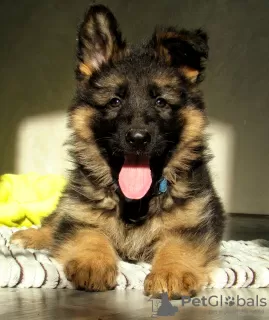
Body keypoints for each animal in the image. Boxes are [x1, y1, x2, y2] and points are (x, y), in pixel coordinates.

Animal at [11, 4, 224, 298]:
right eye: (115, 101)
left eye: (161, 102)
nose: (138, 139)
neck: (136, 202)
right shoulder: (82, 216)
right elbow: (88, 234)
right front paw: (93, 263)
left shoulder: (192, 226)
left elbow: (177, 246)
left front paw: (170, 273)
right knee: (56, 220)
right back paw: (30, 237)